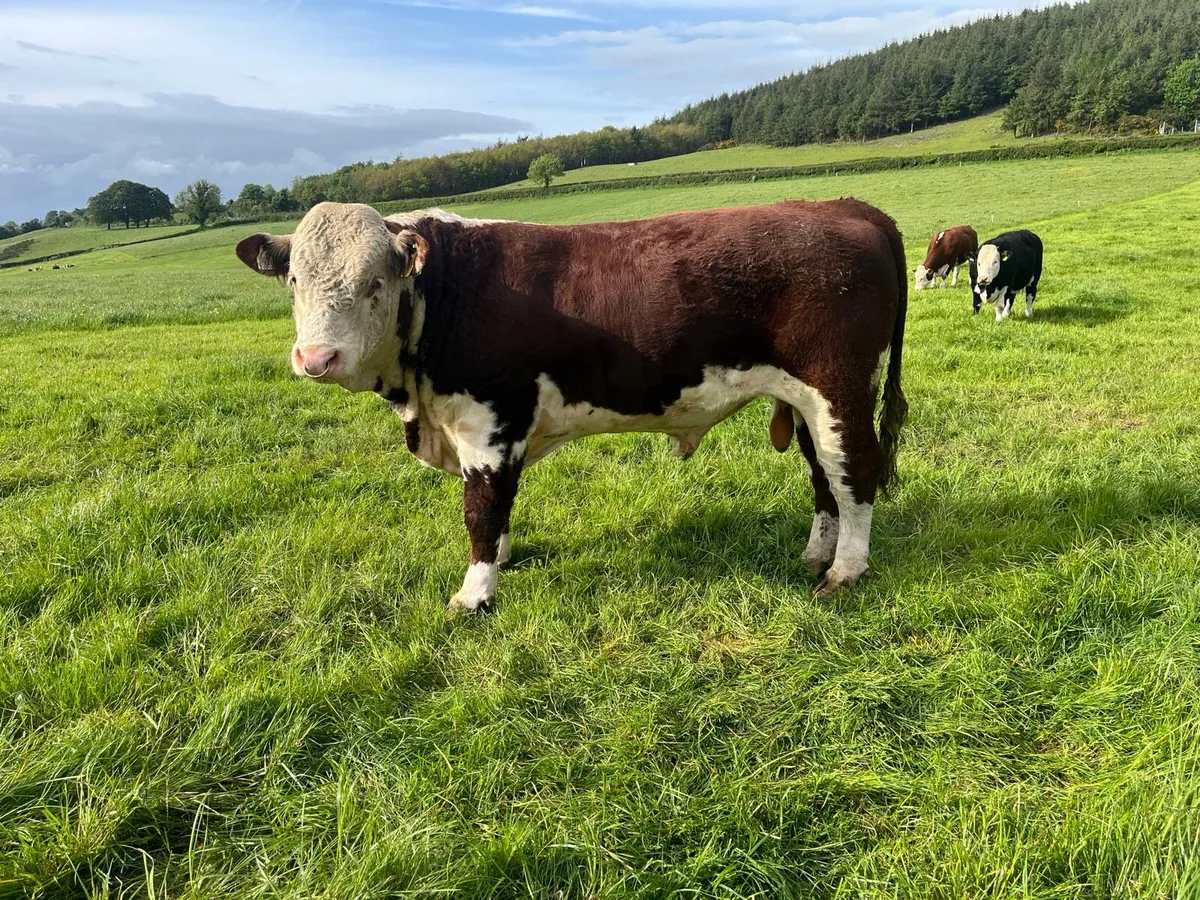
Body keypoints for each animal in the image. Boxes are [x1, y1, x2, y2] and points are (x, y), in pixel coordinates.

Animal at [235, 200, 909, 614]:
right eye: (294, 281)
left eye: (375, 282)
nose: (316, 357)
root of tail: (847, 207)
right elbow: (498, 510)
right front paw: (502, 562)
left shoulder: (490, 421)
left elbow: (482, 510)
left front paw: (475, 594)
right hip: (806, 405)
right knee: (825, 478)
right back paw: (818, 553)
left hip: (838, 389)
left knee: (855, 474)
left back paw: (845, 572)